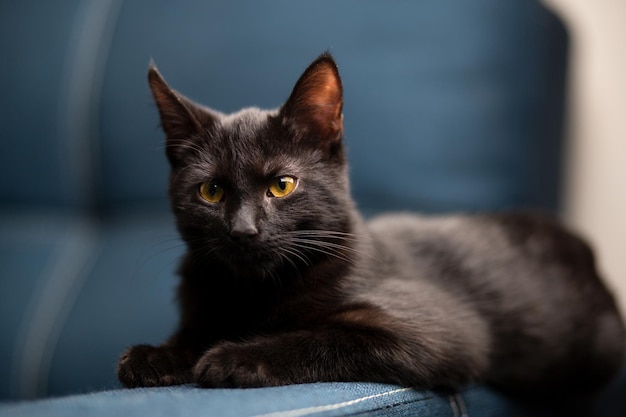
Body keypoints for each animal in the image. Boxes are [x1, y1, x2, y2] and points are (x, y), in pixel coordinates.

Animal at [117, 52, 624, 396]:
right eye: (211, 191)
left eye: (282, 185)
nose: (243, 230)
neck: (253, 292)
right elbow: (196, 331)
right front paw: (156, 355)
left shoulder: (442, 331)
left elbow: (328, 338)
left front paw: (234, 357)